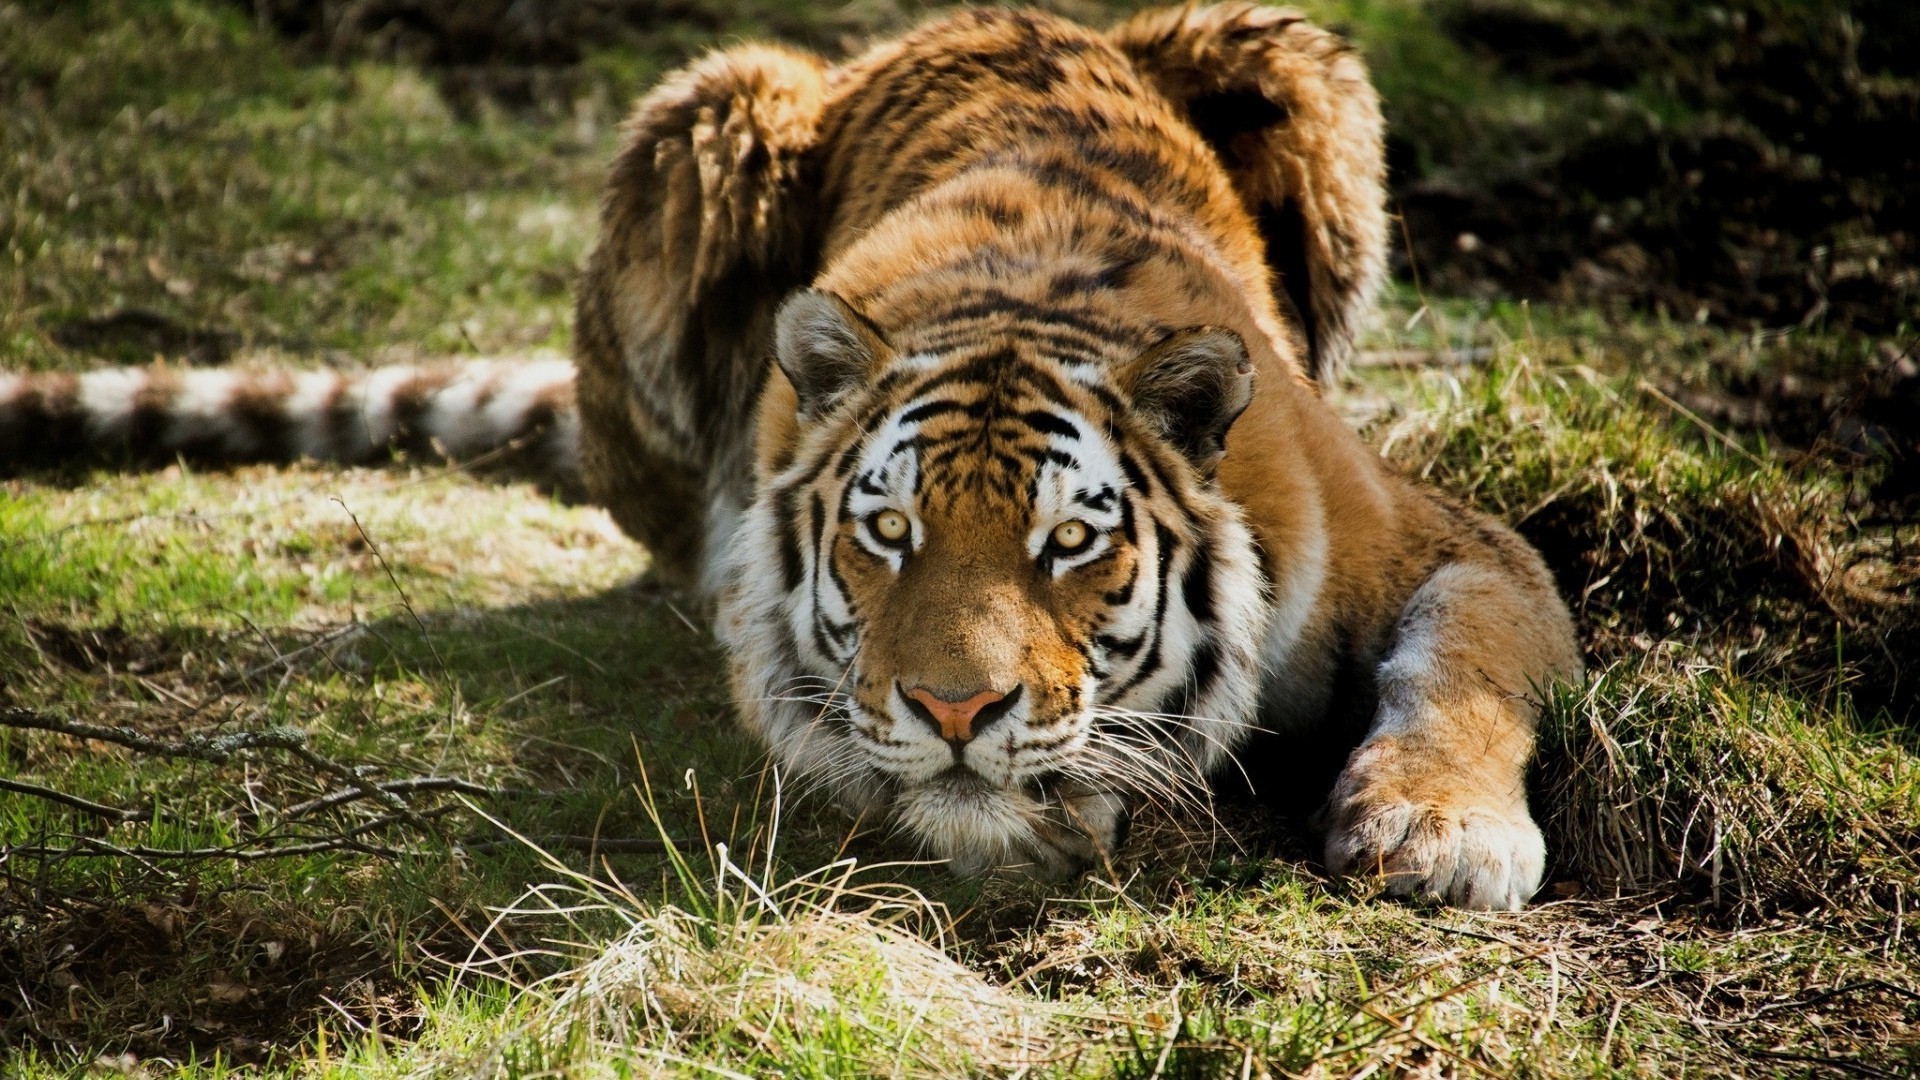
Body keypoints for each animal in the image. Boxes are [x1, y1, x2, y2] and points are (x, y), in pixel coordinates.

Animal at [3, 4, 1574, 903]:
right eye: (889, 534)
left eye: (1071, 542)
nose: (958, 710)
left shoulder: (1450, 539)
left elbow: (1465, 664)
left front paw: (1441, 832)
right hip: (704, 117)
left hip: (1297, 55)